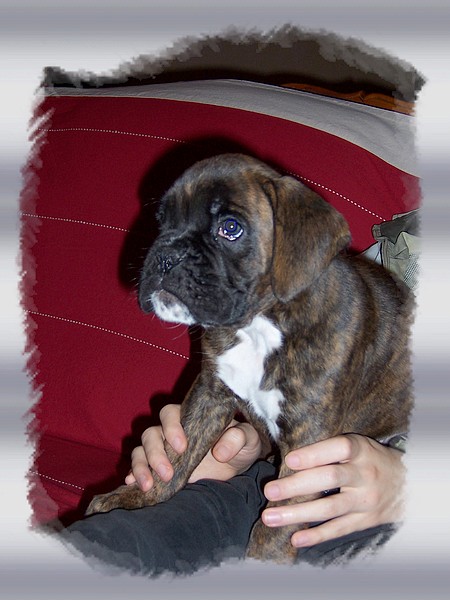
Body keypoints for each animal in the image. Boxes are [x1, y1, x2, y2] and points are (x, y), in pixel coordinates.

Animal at [86, 153, 413, 563]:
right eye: (163, 221)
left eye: (230, 228)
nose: (166, 254)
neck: (261, 324)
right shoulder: (210, 394)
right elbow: (176, 457)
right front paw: (135, 496)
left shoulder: (308, 443)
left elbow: (277, 522)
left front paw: (263, 559)